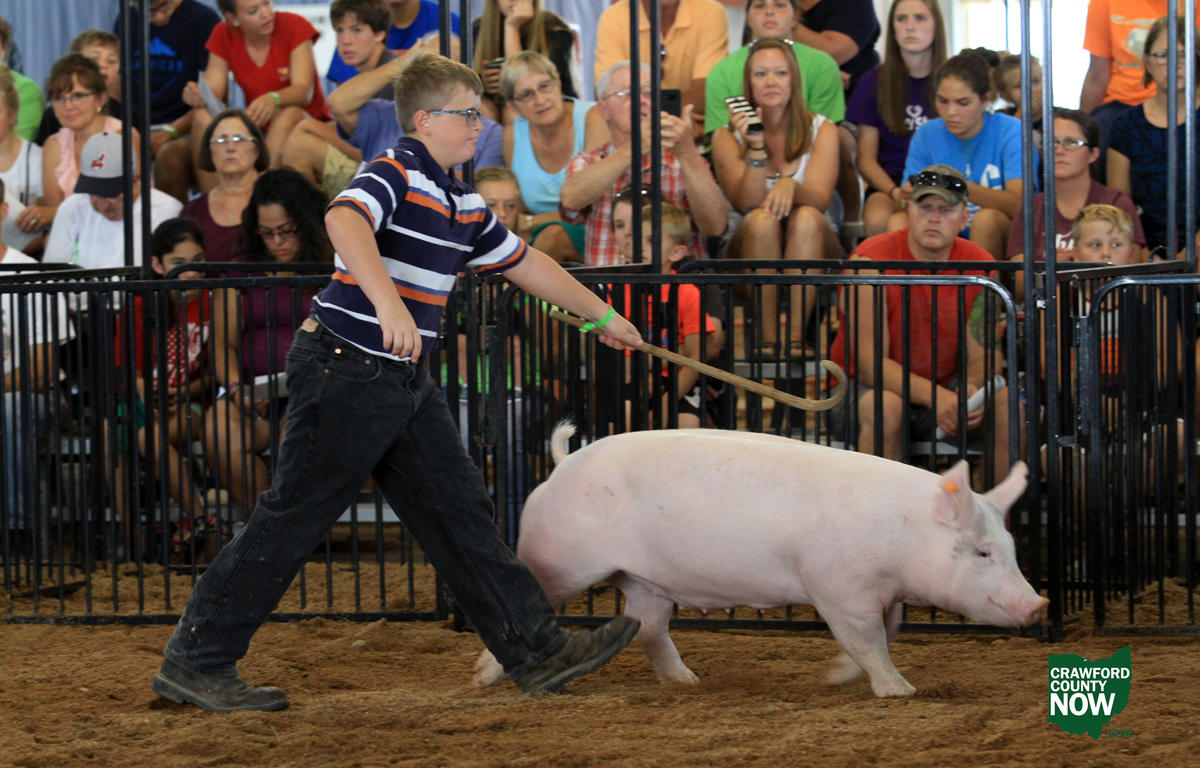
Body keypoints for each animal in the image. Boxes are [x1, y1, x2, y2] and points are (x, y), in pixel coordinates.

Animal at [473, 423, 1048, 697]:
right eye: (981, 551)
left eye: (1012, 547)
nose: (1038, 605)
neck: (900, 535)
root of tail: (562, 462)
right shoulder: (837, 586)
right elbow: (868, 640)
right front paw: (900, 691)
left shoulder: (881, 594)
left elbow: (887, 631)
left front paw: (836, 678)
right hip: (560, 559)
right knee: (527, 597)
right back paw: (483, 678)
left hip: (644, 579)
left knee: (649, 627)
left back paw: (688, 682)